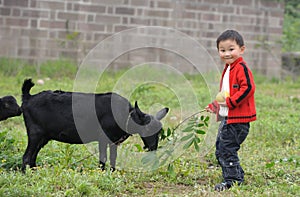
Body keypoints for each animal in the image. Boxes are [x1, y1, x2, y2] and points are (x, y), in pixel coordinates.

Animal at [21, 78, 169, 171]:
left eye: (159, 131)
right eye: (148, 128)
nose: (153, 147)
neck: (124, 114)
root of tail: (28, 98)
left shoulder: (114, 141)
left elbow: (113, 157)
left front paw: (112, 173)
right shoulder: (103, 138)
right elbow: (103, 158)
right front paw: (101, 173)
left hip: (43, 137)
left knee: (33, 156)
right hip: (35, 134)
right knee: (27, 156)